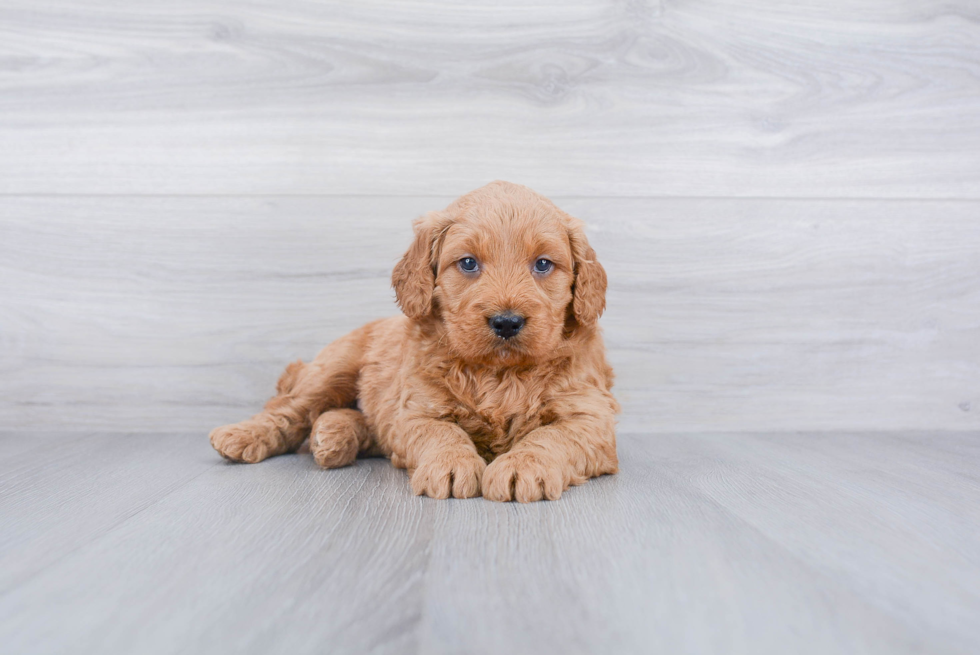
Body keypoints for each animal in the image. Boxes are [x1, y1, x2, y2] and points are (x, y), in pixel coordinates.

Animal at [210, 179, 616, 502]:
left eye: (543, 264)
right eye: (468, 263)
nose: (506, 321)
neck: (499, 373)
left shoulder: (591, 418)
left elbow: (552, 436)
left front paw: (523, 467)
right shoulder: (416, 410)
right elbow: (442, 432)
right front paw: (451, 466)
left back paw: (333, 434)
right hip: (333, 367)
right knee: (288, 409)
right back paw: (242, 436)